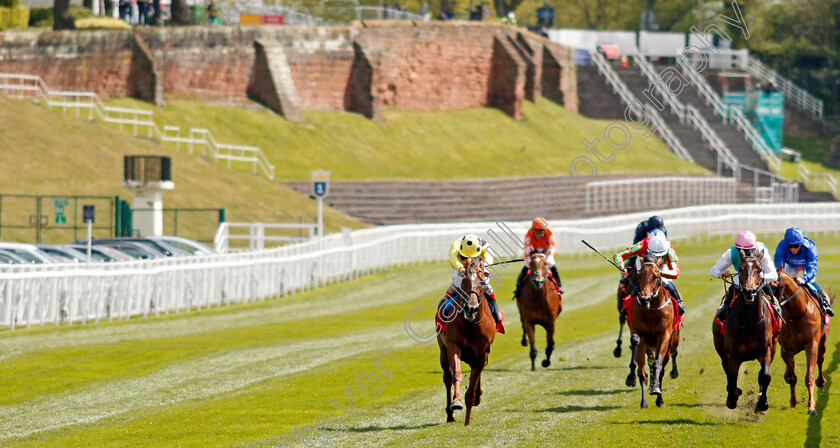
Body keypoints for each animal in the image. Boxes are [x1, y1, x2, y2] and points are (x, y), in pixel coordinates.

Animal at [436, 258, 496, 426]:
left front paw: (467, 422)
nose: (471, 309)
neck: (471, 325)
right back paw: (449, 414)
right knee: (447, 377)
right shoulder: (453, 345)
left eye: (482, 281)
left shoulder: (482, 353)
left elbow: (472, 388)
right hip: (443, 351)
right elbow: (456, 375)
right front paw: (456, 402)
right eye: (463, 282)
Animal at [628, 254, 680, 408]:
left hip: (673, 342)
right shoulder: (640, 334)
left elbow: (658, 365)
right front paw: (643, 400)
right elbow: (642, 372)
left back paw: (660, 396)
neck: (651, 311)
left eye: (656, 277)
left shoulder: (664, 336)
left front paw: (656, 389)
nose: (644, 299)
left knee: (668, 360)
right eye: (639, 275)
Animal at [716, 248, 780, 412]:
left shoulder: (766, 349)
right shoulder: (733, 354)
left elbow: (765, 376)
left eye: (760, 269)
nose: (748, 291)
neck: (749, 322)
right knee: (725, 365)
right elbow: (732, 375)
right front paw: (732, 398)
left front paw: (763, 403)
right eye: (740, 269)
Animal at [776, 268, 832, 414]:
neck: (797, 313)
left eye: (777, 285)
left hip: (822, 341)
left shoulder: (811, 344)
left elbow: (809, 377)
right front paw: (793, 401)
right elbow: (791, 377)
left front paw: (811, 406)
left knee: (820, 360)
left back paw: (821, 381)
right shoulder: (786, 348)